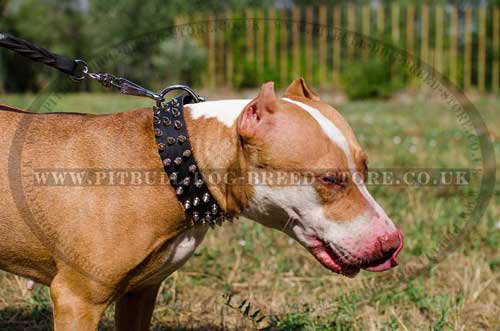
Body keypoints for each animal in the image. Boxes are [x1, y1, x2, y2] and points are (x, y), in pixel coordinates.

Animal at [0, 78, 402, 331]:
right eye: (330, 179)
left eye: (365, 169)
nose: (393, 243)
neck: (173, 164)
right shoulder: (78, 299)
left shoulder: (140, 294)